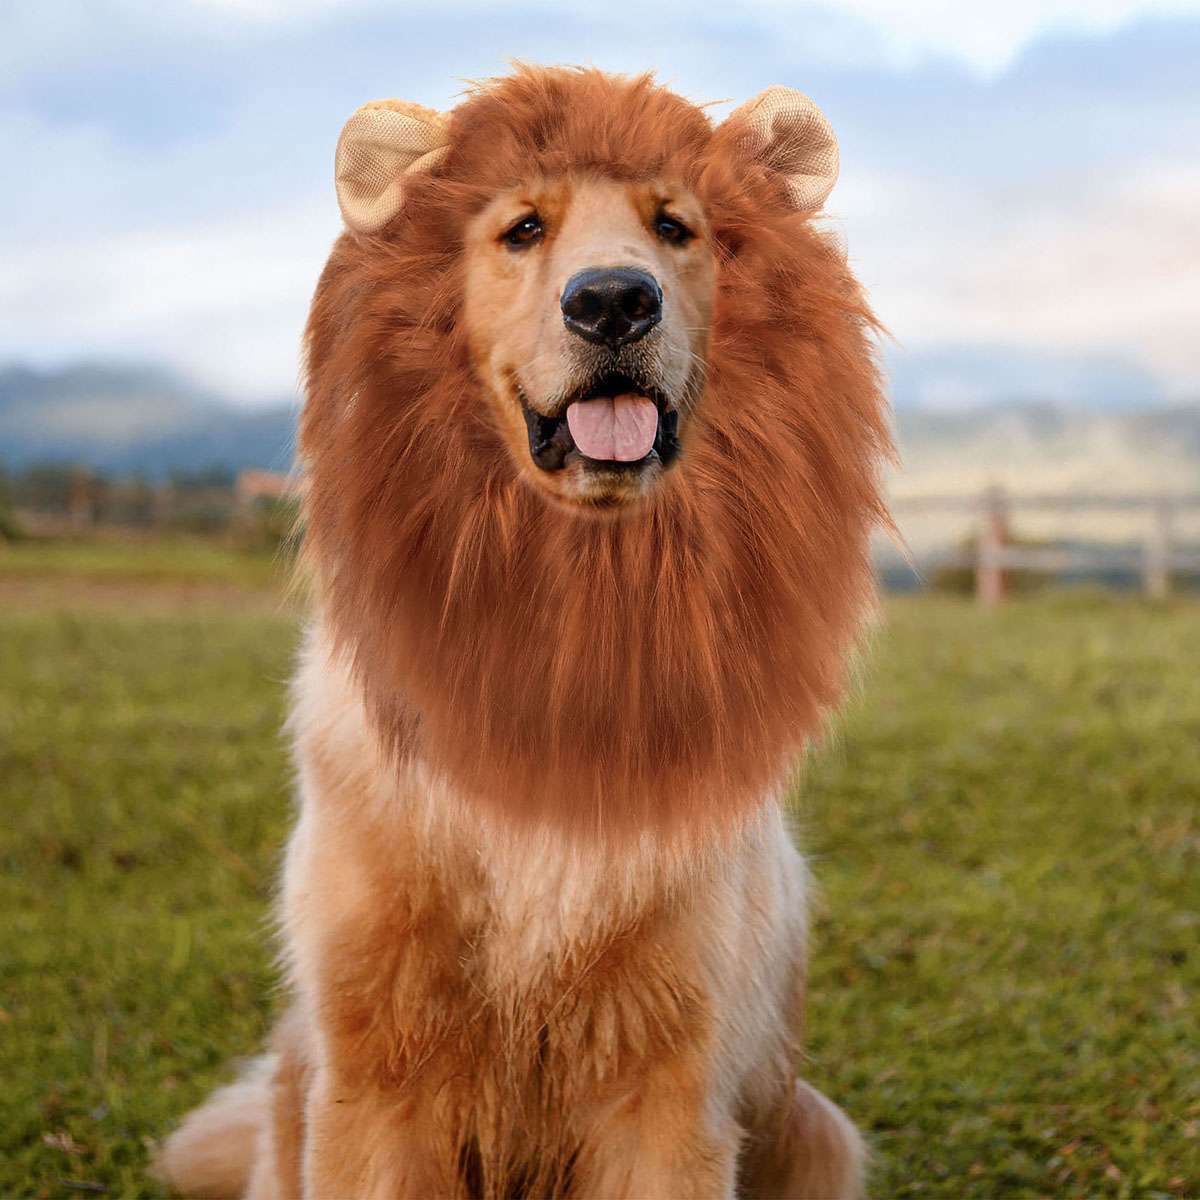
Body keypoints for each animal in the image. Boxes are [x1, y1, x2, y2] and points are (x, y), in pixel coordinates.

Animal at [157, 66, 891, 1199]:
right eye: (523, 228)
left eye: (676, 226)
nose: (613, 300)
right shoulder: (375, 1080)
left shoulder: (670, 1095)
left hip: (816, 1129)